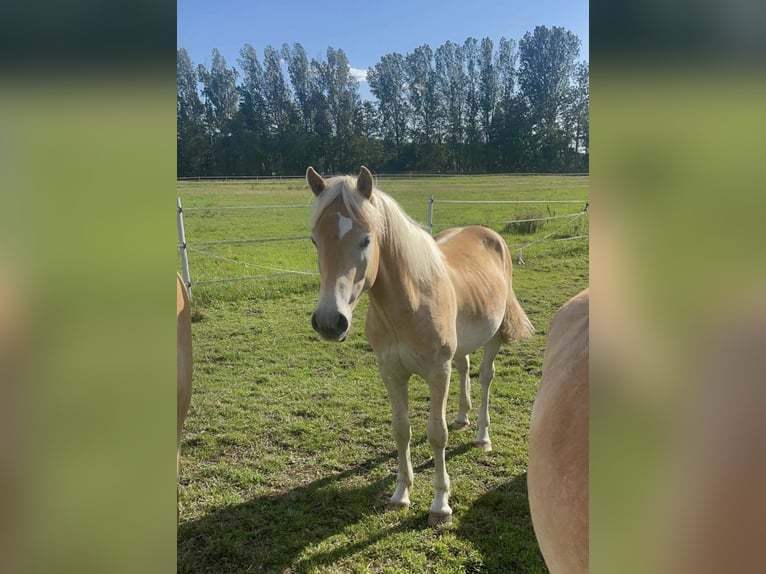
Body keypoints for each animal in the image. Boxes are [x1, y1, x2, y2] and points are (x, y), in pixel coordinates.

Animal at [304, 165, 536, 528]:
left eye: (366, 239)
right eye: (315, 240)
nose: (330, 321)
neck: (408, 304)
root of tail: (490, 235)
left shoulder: (436, 372)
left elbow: (436, 434)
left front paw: (440, 505)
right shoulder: (391, 372)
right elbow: (402, 430)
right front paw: (400, 495)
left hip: (493, 336)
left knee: (485, 376)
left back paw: (482, 436)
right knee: (464, 367)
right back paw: (462, 418)